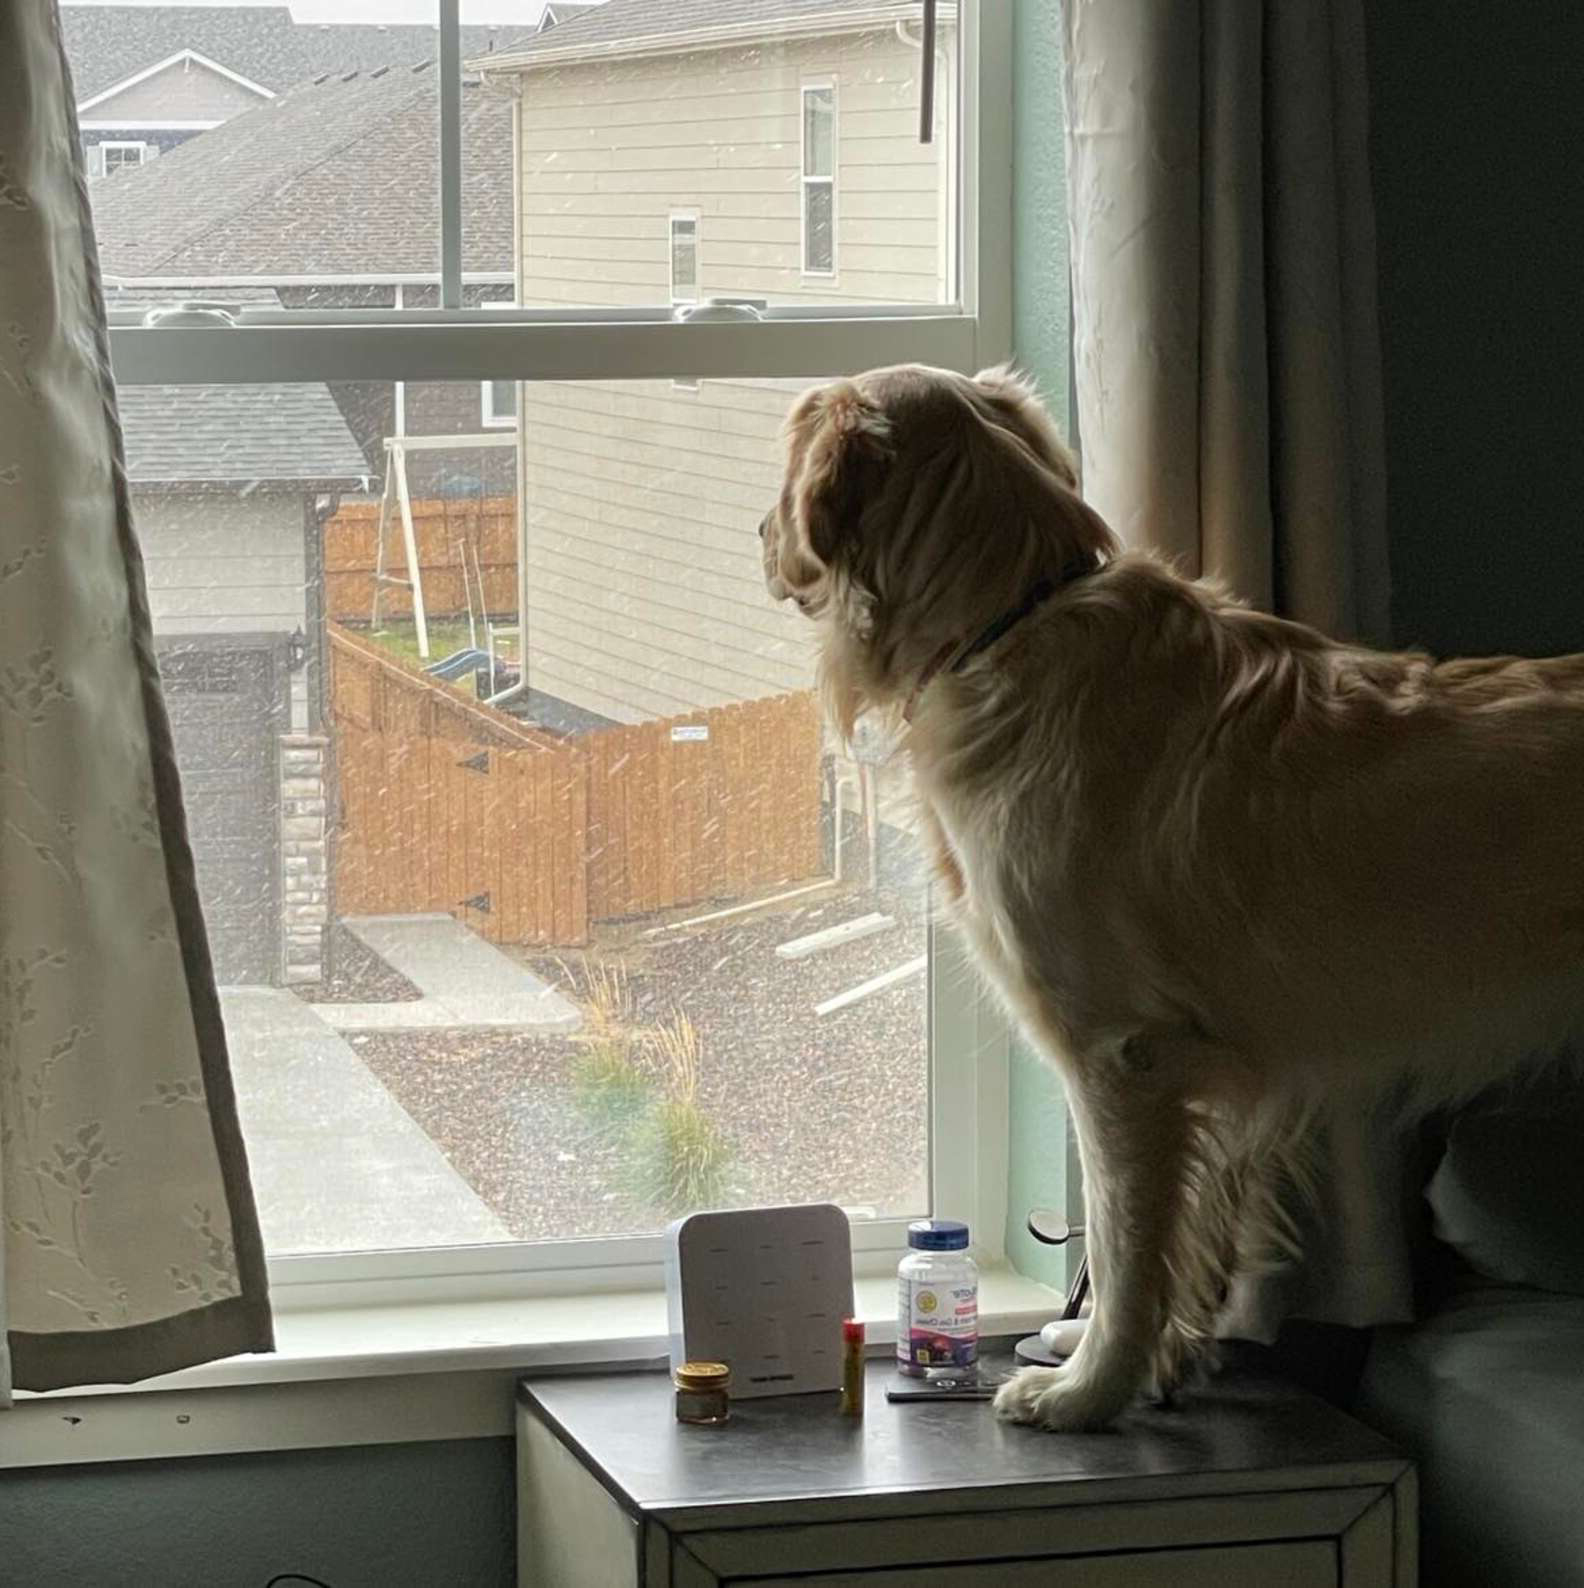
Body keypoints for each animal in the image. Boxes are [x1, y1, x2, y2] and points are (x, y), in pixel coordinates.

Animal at [760, 362, 1584, 1431]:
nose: (759, 536)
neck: (1009, 621)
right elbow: (1173, 1241)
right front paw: (1135, 1360)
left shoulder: (1122, 1054)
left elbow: (1123, 1243)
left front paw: (1087, 1388)